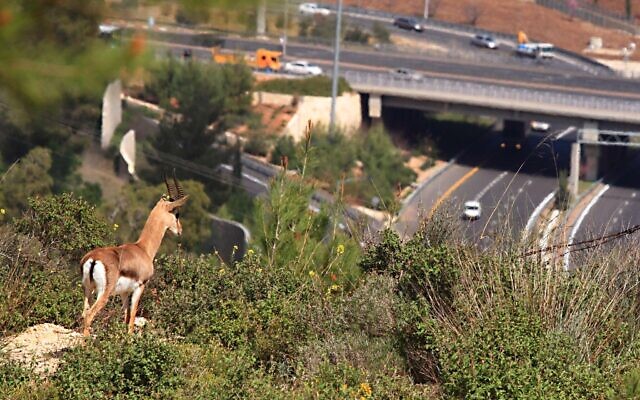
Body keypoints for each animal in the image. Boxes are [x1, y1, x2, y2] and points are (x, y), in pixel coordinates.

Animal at [80, 173, 188, 336]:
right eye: (176, 214)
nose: (180, 230)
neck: (143, 248)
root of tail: (93, 259)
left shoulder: (124, 292)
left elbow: (125, 316)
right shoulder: (140, 287)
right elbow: (131, 319)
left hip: (88, 289)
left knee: (83, 313)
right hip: (103, 293)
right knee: (89, 315)